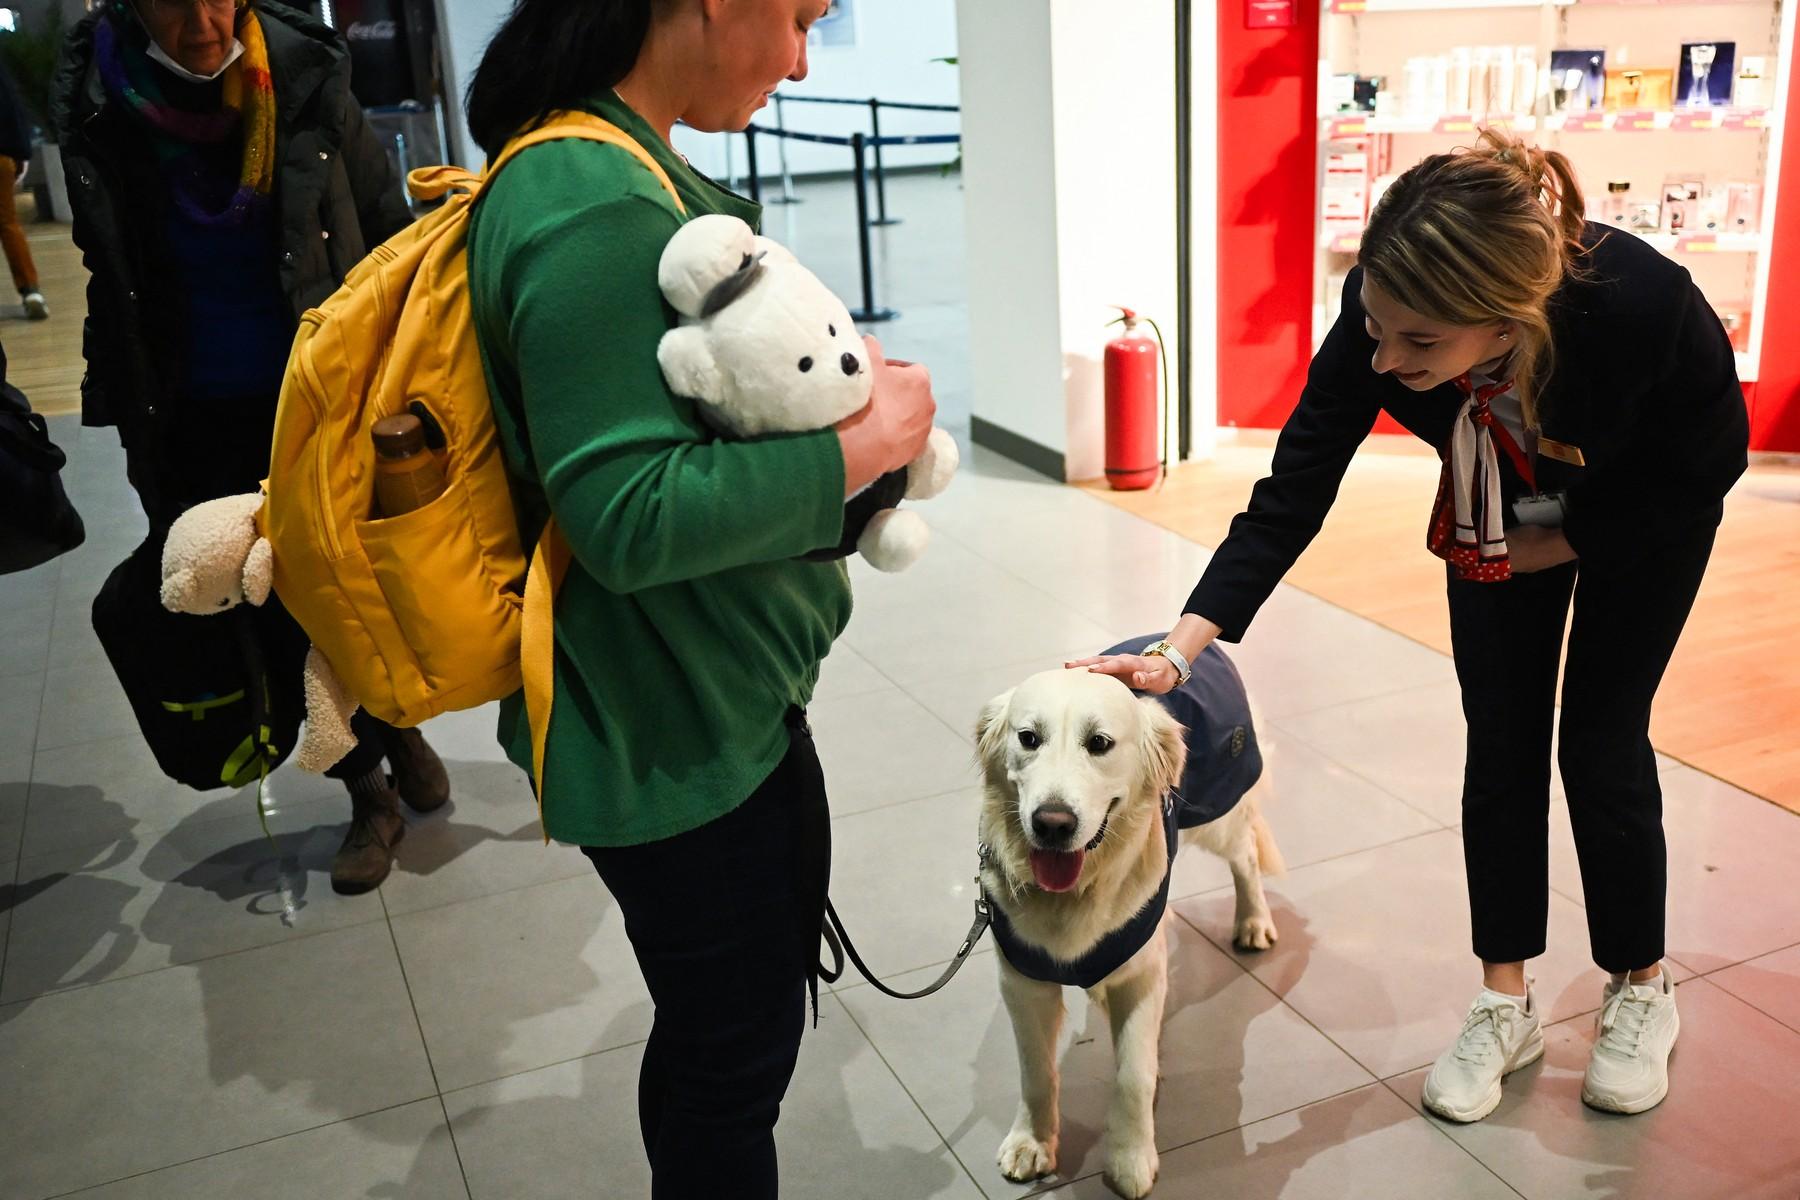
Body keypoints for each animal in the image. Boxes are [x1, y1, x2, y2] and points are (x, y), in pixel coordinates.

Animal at [972, 647, 1281, 1200]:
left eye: (1099, 743)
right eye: (1028, 738)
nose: (1052, 824)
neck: (1076, 892)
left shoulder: (1140, 978)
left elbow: (1133, 1076)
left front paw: (1130, 1157)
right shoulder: (1023, 982)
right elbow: (1035, 1071)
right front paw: (1033, 1141)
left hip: (1217, 818)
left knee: (1245, 852)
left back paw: (1253, 921)